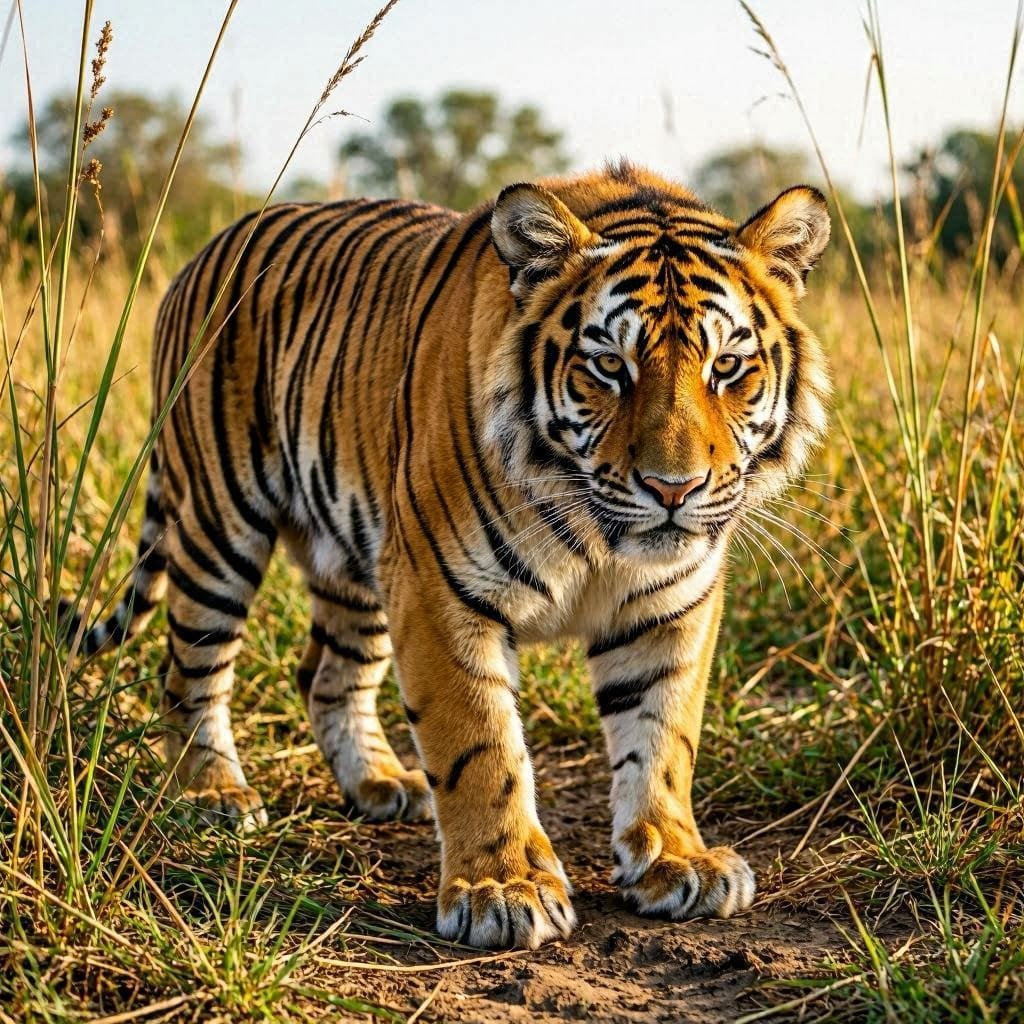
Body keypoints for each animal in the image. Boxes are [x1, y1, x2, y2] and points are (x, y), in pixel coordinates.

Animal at [65, 161, 830, 950]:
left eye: (728, 366)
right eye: (608, 366)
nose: (673, 488)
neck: (596, 534)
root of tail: (206, 250)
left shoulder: (671, 606)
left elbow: (663, 737)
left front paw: (678, 860)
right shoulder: (440, 590)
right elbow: (479, 744)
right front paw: (504, 888)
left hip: (358, 558)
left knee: (328, 676)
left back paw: (380, 783)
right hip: (220, 525)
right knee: (191, 671)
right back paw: (214, 794)